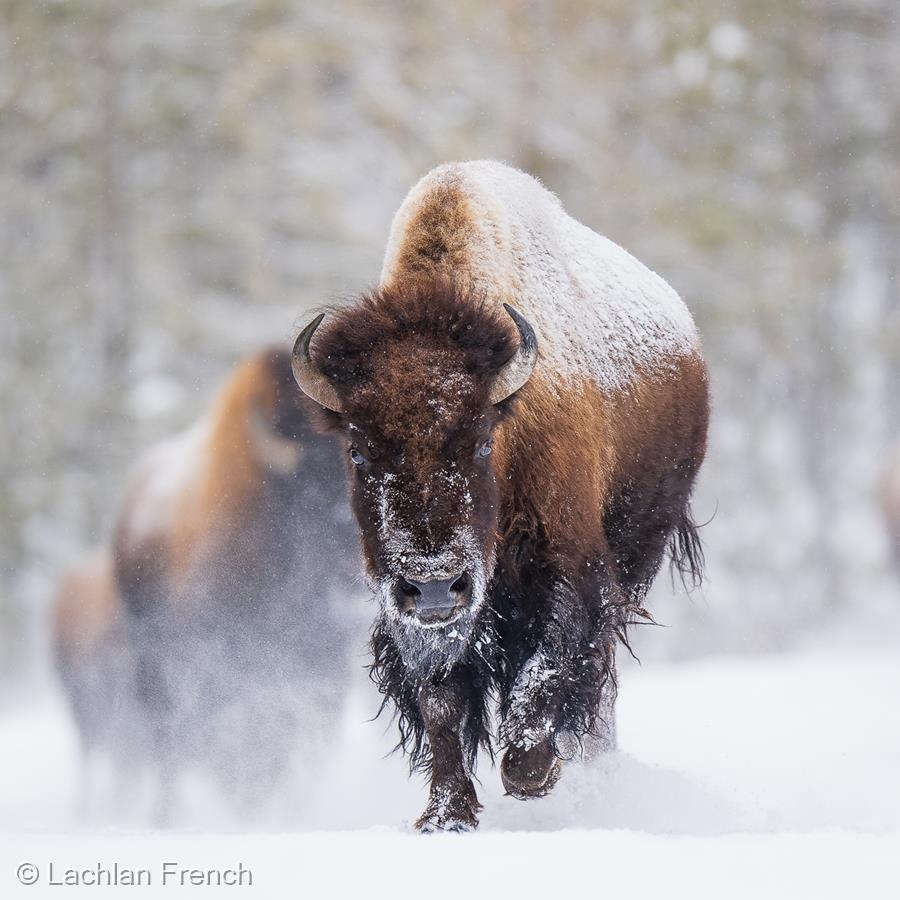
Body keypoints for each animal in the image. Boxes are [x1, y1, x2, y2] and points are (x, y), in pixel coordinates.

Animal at [292, 161, 709, 830]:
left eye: (484, 439)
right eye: (357, 451)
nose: (435, 583)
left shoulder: (570, 567)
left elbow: (549, 670)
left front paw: (535, 774)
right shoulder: (414, 613)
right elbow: (440, 700)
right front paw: (446, 814)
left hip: (639, 549)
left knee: (603, 681)